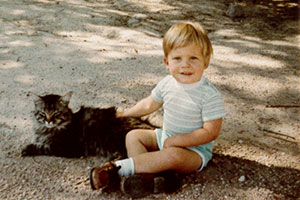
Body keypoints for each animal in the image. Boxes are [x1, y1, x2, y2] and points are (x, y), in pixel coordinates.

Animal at [22, 92, 156, 159]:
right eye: (43, 113)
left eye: (56, 113)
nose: (49, 121)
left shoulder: (69, 148)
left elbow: (43, 146)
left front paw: (28, 148)